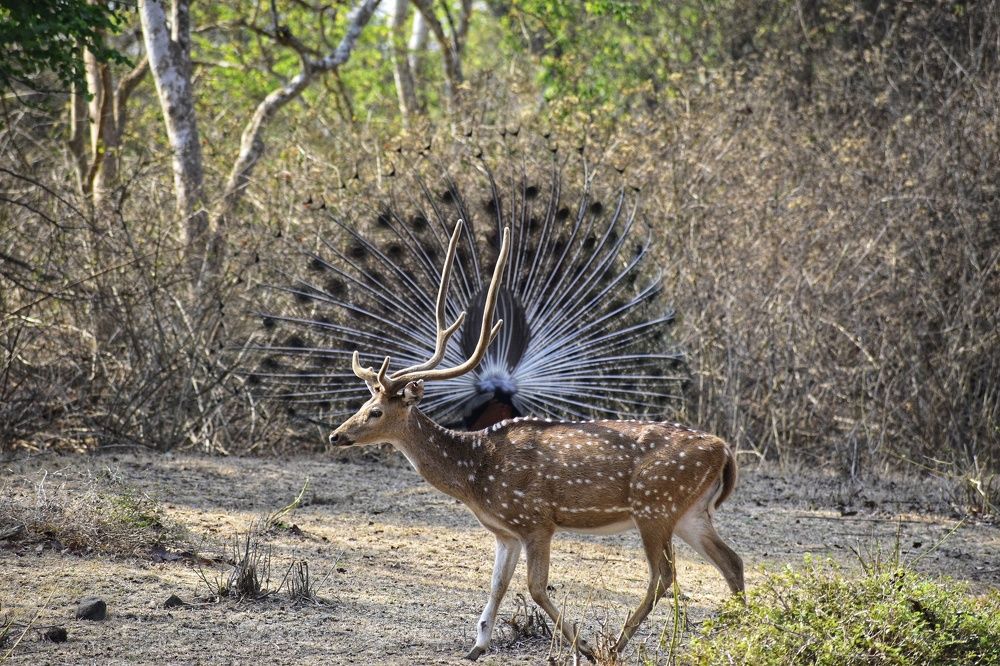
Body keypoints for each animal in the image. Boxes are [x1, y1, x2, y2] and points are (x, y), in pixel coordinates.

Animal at [329, 220, 744, 660]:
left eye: (376, 411)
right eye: (363, 402)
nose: (337, 435)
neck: (476, 473)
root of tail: (724, 450)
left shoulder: (535, 520)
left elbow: (535, 587)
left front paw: (583, 647)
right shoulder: (505, 531)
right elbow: (497, 585)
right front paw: (476, 646)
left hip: (655, 505)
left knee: (664, 575)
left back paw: (615, 645)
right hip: (690, 512)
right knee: (732, 562)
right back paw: (738, 630)